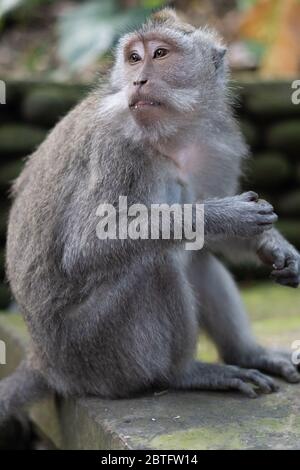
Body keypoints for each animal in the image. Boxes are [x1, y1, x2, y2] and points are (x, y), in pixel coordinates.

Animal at [0, 8, 300, 422]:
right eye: (134, 58)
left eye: (160, 54)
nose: (138, 80)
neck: (171, 136)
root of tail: (44, 363)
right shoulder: (115, 149)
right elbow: (85, 247)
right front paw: (222, 214)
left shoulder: (216, 143)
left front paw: (273, 245)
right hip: (94, 353)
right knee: (155, 264)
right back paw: (186, 373)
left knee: (194, 258)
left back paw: (248, 355)